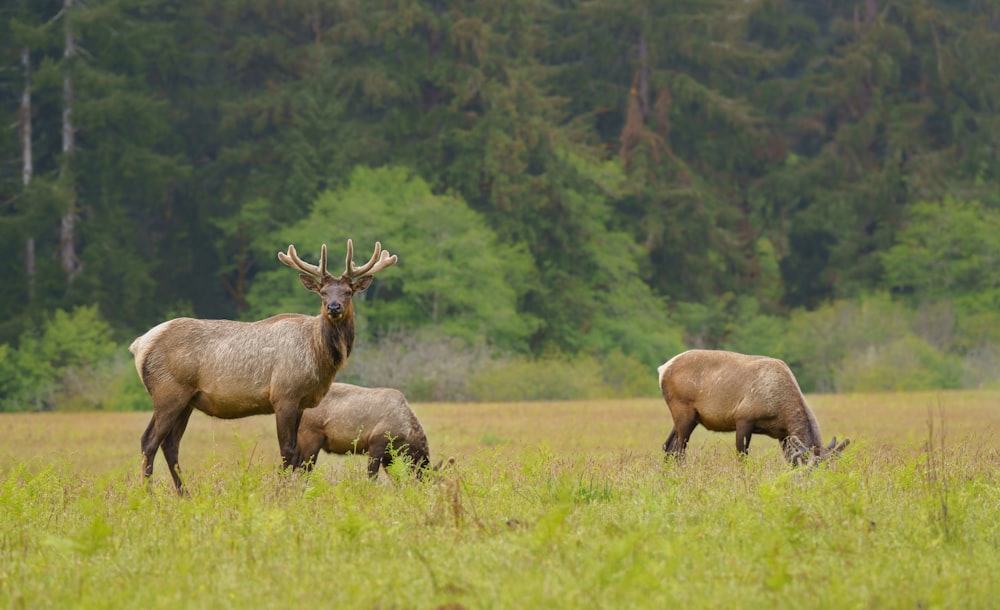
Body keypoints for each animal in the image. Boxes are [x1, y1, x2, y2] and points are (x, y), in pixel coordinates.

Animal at [131, 238, 396, 490]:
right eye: (322, 292)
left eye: (348, 292)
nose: (333, 307)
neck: (318, 356)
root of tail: (139, 345)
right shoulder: (284, 395)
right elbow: (287, 452)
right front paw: (280, 493)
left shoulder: (301, 402)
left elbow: (296, 455)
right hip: (168, 393)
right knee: (149, 440)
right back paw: (148, 493)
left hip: (187, 399)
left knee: (170, 444)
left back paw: (184, 493)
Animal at [296, 382, 430, 478]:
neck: (407, 433)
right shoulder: (377, 443)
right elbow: (372, 476)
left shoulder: (388, 455)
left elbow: (395, 478)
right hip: (311, 438)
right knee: (303, 471)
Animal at [656, 350, 852, 464]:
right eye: (811, 469)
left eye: (830, 469)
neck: (781, 409)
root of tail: (662, 369)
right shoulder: (743, 419)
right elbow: (742, 458)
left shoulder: (783, 434)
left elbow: (790, 461)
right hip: (683, 411)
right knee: (679, 450)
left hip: (690, 417)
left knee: (668, 446)